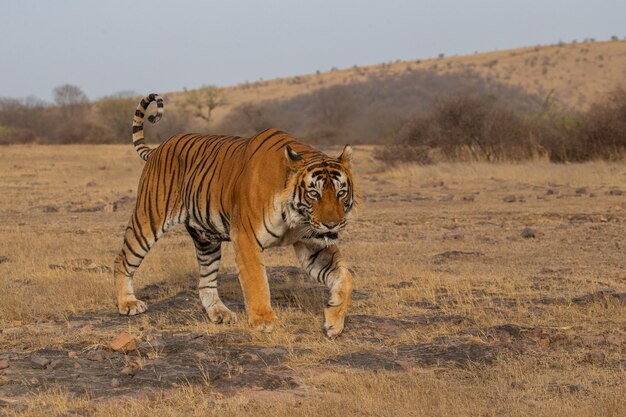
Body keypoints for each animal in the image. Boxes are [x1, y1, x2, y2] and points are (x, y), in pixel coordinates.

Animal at [113, 92, 356, 336]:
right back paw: (128, 303)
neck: (296, 219)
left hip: (206, 240)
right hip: (148, 219)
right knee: (123, 258)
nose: (332, 225)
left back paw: (220, 313)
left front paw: (334, 319)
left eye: (341, 193)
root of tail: (158, 148)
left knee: (206, 281)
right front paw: (264, 321)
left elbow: (344, 275)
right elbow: (257, 280)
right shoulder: (246, 237)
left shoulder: (312, 244)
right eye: (314, 194)